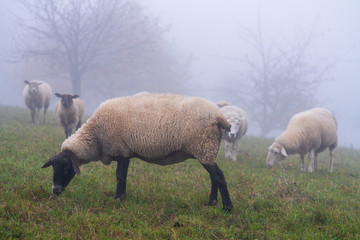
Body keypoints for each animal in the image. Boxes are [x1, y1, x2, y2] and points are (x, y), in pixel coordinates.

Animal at [41, 94, 233, 212]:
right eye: (53, 168)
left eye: (67, 169)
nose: (55, 191)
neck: (95, 135)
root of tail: (219, 116)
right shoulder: (126, 152)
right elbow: (123, 175)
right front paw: (123, 196)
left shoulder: (120, 149)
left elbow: (119, 175)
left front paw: (117, 198)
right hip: (206, 149)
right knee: (214, 176)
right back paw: (212, 203)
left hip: (203, 145)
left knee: (219, 176)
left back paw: (227, 208)